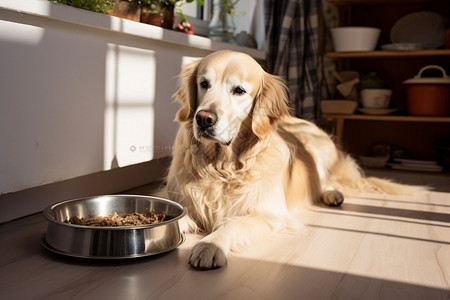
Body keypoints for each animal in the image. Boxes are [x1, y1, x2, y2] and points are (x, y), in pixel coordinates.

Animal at [164, 49, 422, 270]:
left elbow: (232, 223)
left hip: (316, 150)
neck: (222, 166)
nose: (204, 119)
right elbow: (181, 216)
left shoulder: (269, 214)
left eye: (239, 90)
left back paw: (332, 195)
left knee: (327, 181)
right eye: (203, 84)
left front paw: (210, 246)